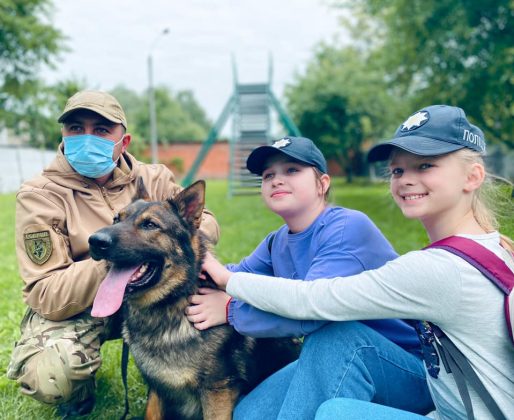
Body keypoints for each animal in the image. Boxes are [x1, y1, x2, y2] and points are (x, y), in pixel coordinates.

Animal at [86, 180, 298, 420]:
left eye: (150, 225)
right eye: (116, 219)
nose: (95, 241)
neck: (172, 305)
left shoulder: (217, 392)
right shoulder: (157, 390)